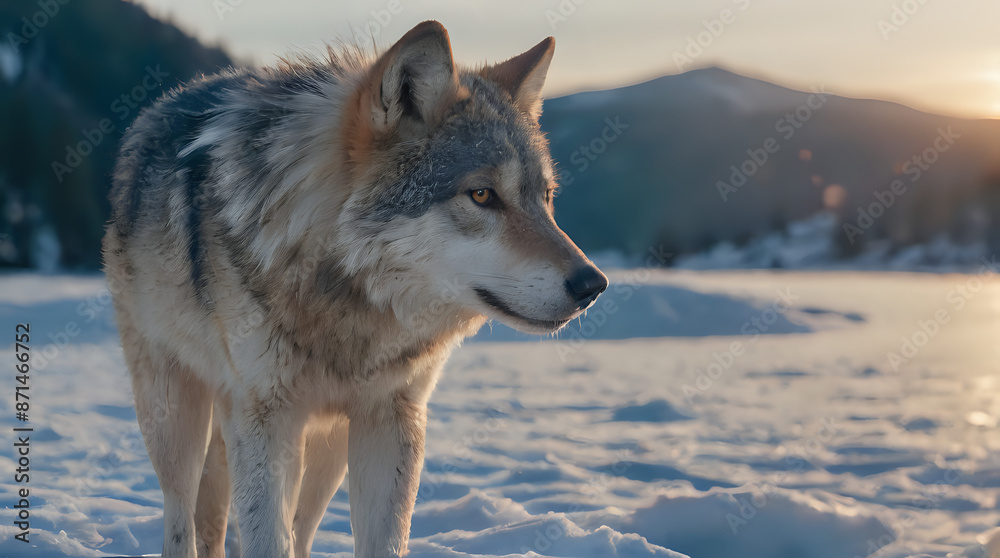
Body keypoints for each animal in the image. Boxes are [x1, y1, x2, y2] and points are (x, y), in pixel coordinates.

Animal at [103, 20, 607, 558]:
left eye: (545, 198)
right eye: (482, 194)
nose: (593, 283)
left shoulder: (391, 417)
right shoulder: (264, 418)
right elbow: (266, 538)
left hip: (325, 444)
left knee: (296, 530)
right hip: (178, 416)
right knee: (182, 517)